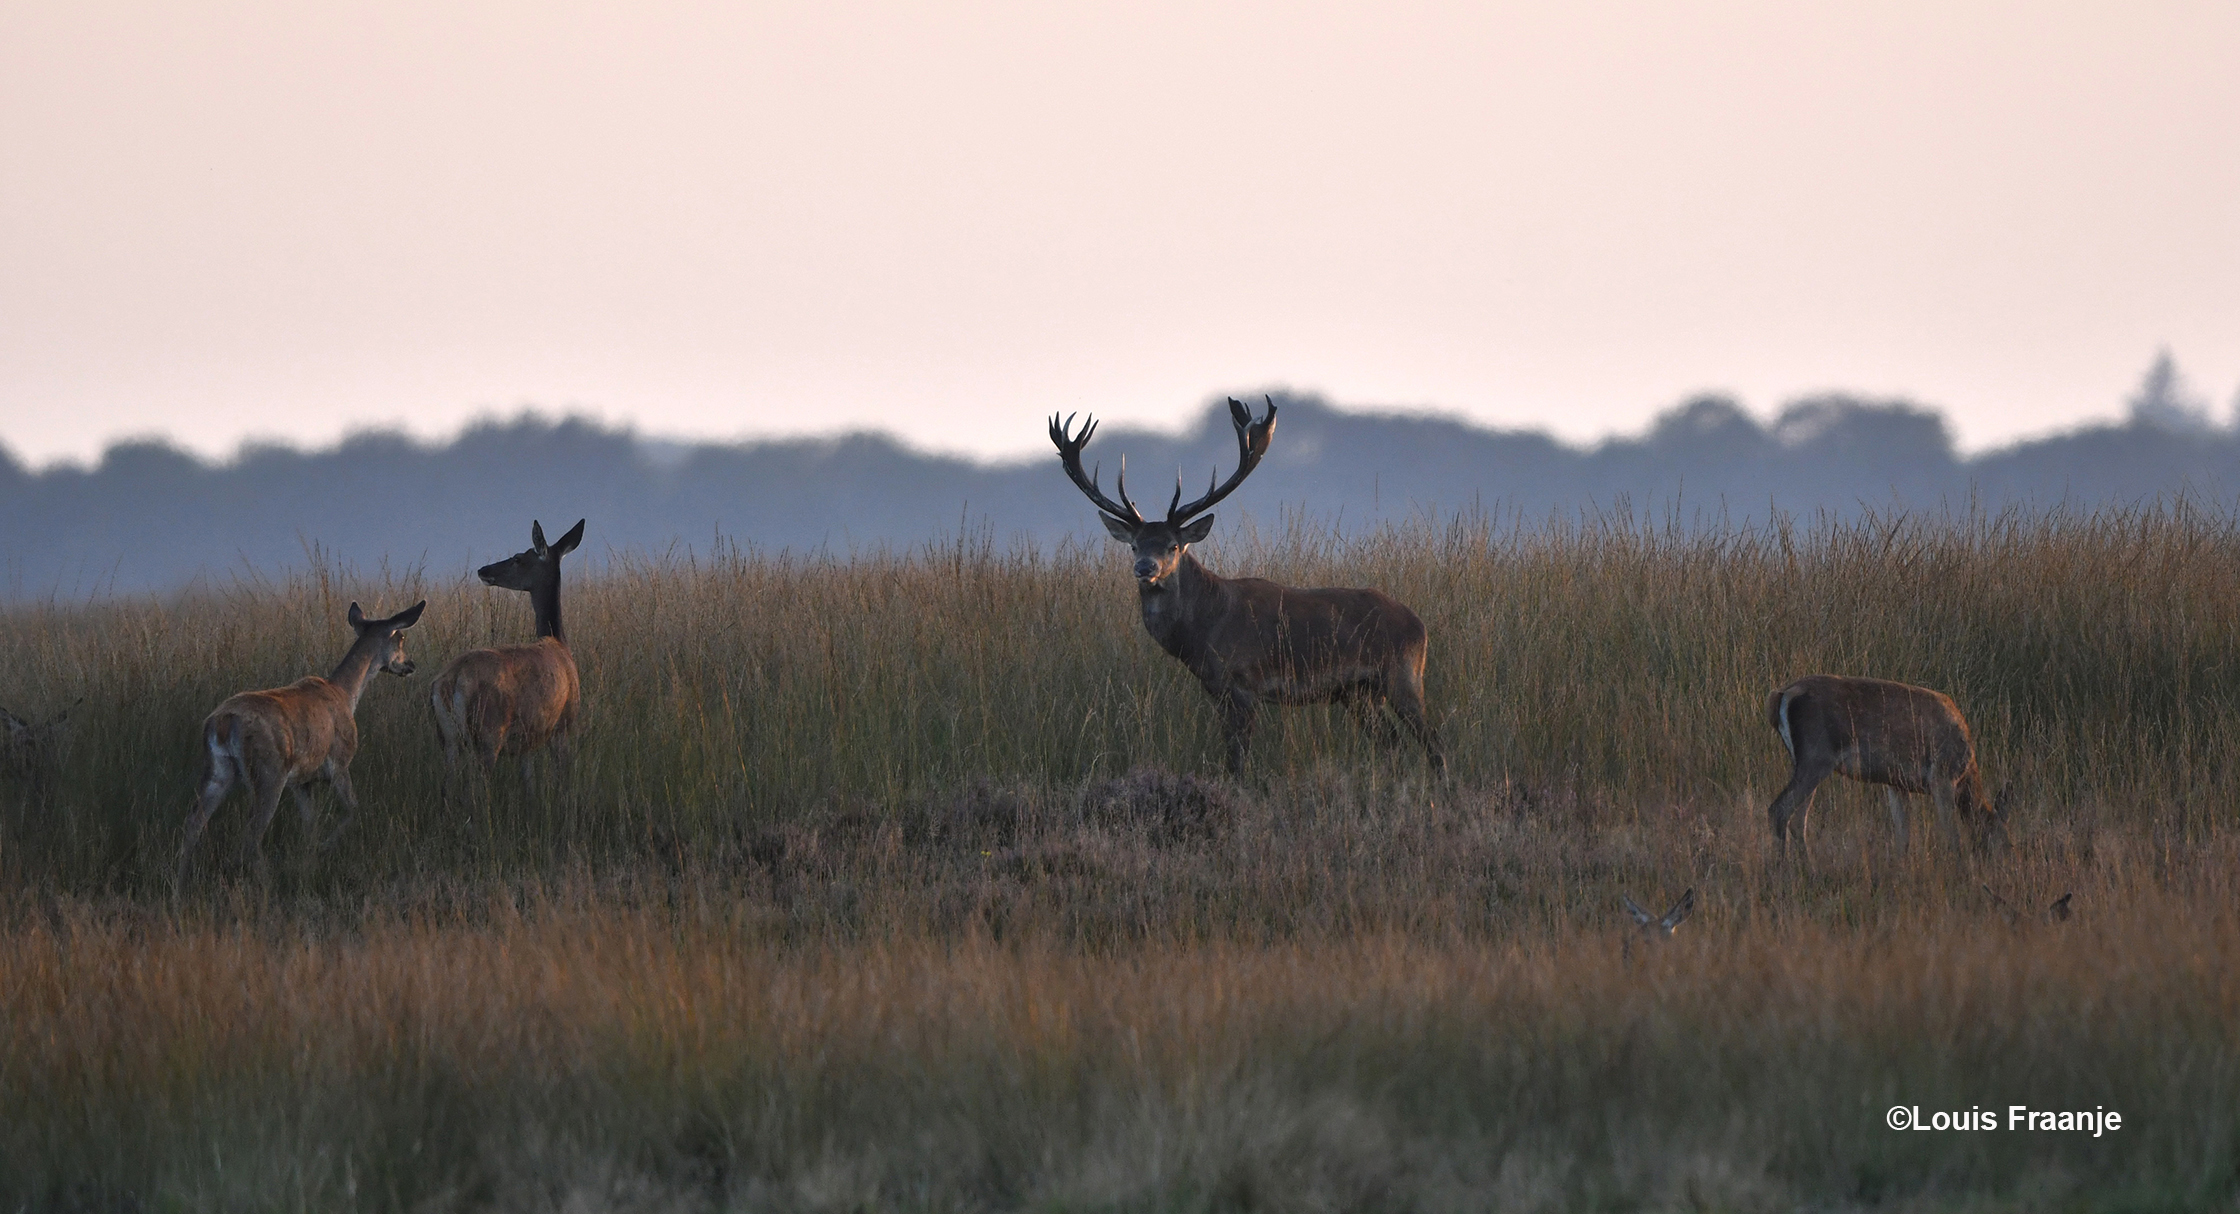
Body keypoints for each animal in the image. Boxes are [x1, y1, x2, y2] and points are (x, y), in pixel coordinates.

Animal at [176, 604, 425, 891]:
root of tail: (222, 723)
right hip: (269, 772)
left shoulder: (302, 781)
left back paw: (180, 883)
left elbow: (310, 823)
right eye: (400, 638)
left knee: (193, 823)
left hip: (218, 770)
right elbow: (353, 809)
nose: (410, 664)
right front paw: (323, 849)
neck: (346, 694)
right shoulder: (339, 763)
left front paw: (310, 858)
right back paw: (266, 883)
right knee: (251, 834)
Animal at [430, 521, 586, 797]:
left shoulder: (527, 740)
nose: (483, 569)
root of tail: (452, 680)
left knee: (447, 788)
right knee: (477, 790)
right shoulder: (563, 724)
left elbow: (529, 783)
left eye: (517, 558)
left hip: (447, 738)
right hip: (489, 732)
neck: (560, 644)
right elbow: (563, 778)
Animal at [1043, 398, 1442, 779]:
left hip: (1403, 676)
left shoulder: (1244, 683)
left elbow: (1238, 759)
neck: (1202, 633)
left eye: (1173, 545)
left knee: (1432, 741)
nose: (1145, 568)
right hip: (1359, 694)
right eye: (1134, 545)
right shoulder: (1217, 691)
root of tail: (1419, 625)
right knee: (1393, 743)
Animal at [1765, 680, 2016, 860]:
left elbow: (1903, 836)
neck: (1967, 773)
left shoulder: (1896, 783)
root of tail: (1781, 694)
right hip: (1816, 757)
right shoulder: (1942, 776)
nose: (2007, 863)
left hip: (1810, 763)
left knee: (1798, 820)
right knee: (1779, 810)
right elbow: (1952, 835)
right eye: (2006, 842)